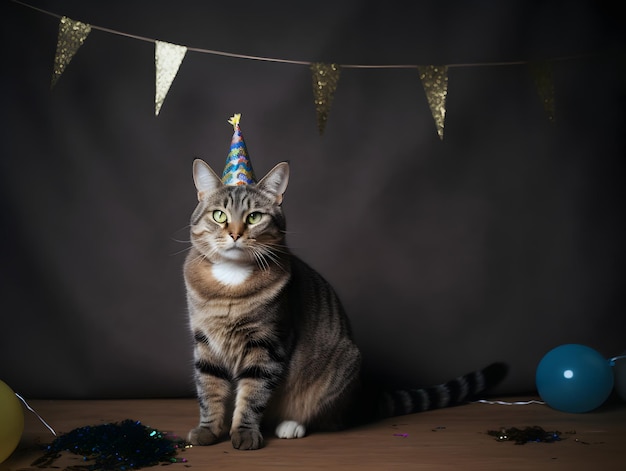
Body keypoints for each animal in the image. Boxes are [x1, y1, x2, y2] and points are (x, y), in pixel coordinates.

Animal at [183, 159, 504, 450]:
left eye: (253, 218)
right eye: (219, 215)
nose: (235, 234)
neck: (230, 285)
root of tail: (361, 400)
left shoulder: (267, 345)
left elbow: (253, 393)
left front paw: (245, 433)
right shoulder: (205, 343)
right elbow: (209, 390)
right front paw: (209, 431)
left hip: (340, 366)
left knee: (324, 416)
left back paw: (291, 425)